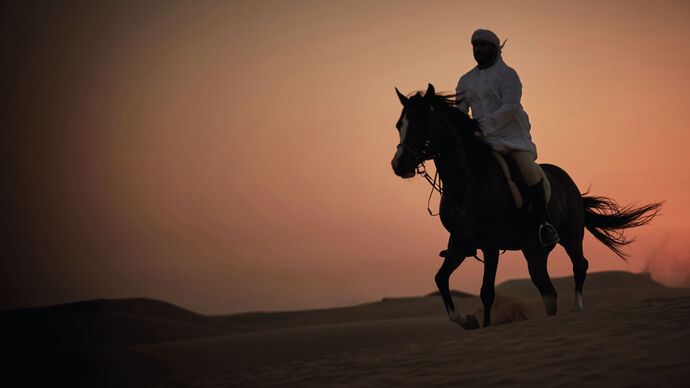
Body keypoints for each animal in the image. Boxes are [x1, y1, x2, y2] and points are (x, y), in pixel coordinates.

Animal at [390, 83, 660, 328]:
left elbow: (487, 292)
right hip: (534, 251)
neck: (468, 183)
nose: (399, 164)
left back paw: (577, 309)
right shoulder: (459, 243)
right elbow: (441, 279)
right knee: (548, 290)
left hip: (571, 236)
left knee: (579, 265)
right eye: (399, 125)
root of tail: (569, 184)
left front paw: (483, 325)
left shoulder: (490, 244)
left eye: (423, 122)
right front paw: (468, 321)